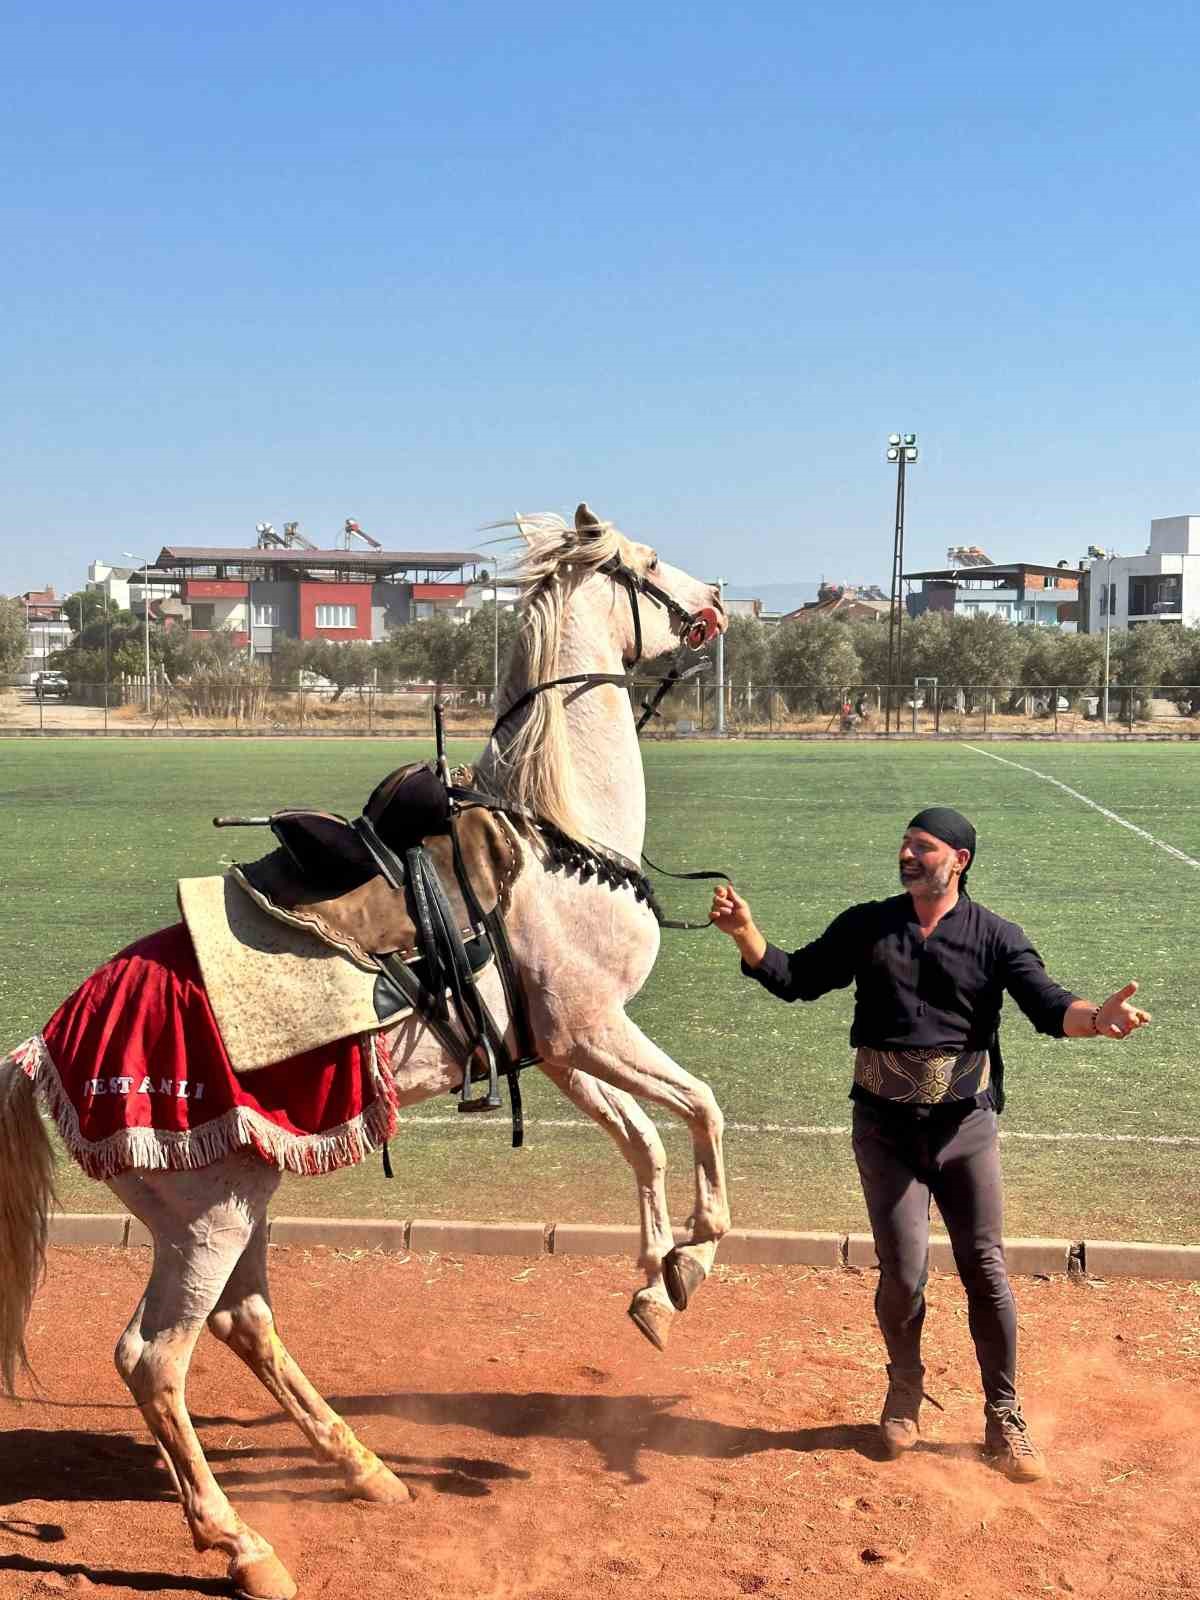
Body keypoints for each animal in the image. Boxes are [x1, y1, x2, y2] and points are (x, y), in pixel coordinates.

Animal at [0, 505, 732, 1600]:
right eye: (645, 564)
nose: (719, 602)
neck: (556, 837)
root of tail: (45, 1043)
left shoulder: (563, 1050)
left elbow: (644, 1138)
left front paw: (658, 1281)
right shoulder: (595, 1031)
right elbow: (702, 1109)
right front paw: (698, 1250)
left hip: (234, 1197)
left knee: (245, 1323)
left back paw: (363, 1467)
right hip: (207, 1218)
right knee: (154, 1359)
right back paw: (241, 1543)